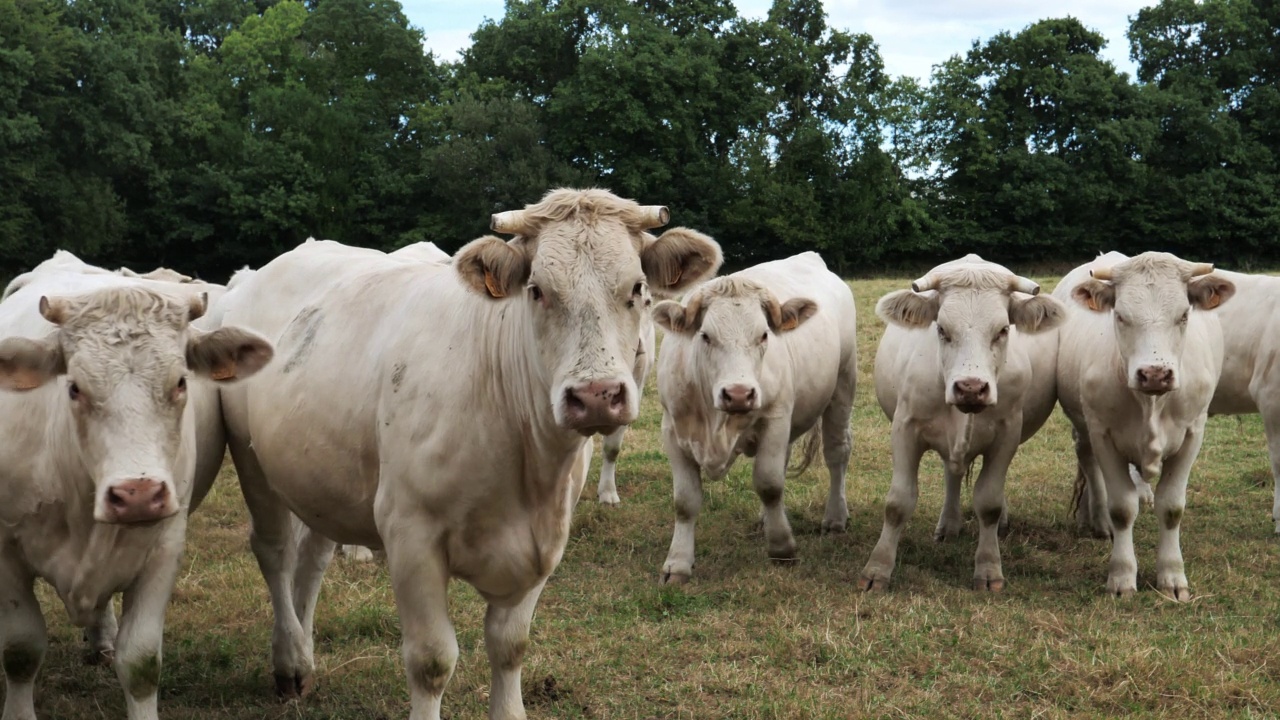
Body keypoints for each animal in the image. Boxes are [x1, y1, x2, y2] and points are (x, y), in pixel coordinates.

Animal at [0, 257, 270, 717]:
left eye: (181, 382)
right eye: (74, 387)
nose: (138, 495)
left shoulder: (163, 547)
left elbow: (141, 663)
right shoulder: (4, 550)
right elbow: (20, 651)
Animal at [218, 188, 721, 712]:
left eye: (638, 288)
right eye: (537, 290)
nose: (597, 395)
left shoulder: (545, 541)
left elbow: (510, 645)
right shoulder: (410, 535)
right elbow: (432, 661)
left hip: (322, 477)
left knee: (312, 559)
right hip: (252, 462)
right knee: (275, 552)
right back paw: (289, 661)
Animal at [650, 252, 860, 584]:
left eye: (763, 335)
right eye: (705, 336)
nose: (738, 394)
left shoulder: (775, 417)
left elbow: (769, 484)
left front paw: (782, 547)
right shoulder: (672, 429)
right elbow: (684, 501)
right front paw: (678, 563)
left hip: (842, 386)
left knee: (837, 453)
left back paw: (835, 517)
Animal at [865, 254, 1064, 591]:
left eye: (1003, 330)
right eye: (942, 329)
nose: (971, 387)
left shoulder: (1007, 434)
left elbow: (989, 502)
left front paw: (989, 569)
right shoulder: (905, 428)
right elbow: (898, 502)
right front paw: (877, 569)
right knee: (952, 473)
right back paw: (948, 525)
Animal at [1054, 249, 1233, 597]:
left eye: (1183, 315)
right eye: (1121, 316)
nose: (1154, 374)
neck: (1151, 402)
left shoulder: (1193, 433)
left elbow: (1172, 507)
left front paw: (1172, 576)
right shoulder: (1102, 432)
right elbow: (1122, 508)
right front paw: (1122, 576)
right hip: (1083, 427)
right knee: (1088, 464)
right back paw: (1096, 519)